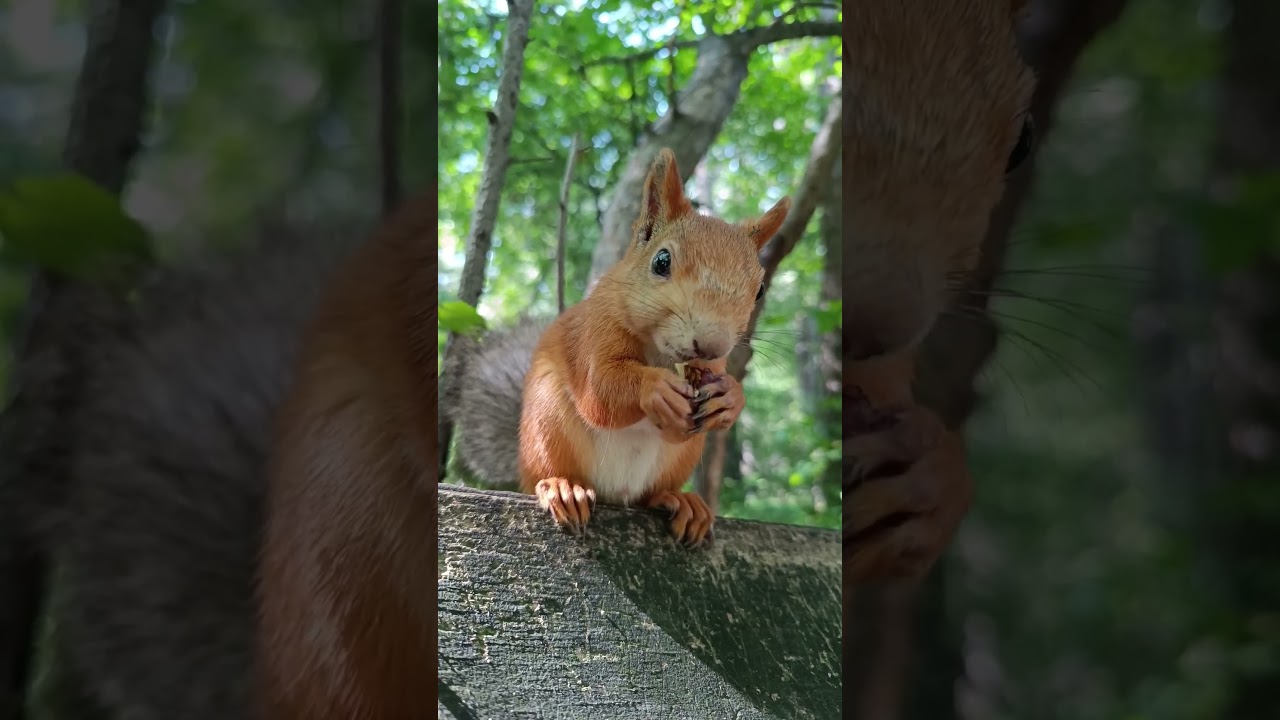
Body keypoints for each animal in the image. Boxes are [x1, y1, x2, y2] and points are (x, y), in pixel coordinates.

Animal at [514, 148, 789, 545]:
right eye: (661, 261)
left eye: (760, 290)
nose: (711, 344)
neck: (660, 352)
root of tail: (616, 494)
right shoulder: (595, 329)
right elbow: (599, 390)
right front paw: (656, 388)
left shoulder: (713, 366)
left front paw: (731, 399)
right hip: (547, 428)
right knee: (548, 471)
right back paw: (562, 487)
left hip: (682, 455)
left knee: (651, 494)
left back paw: (680, 501)